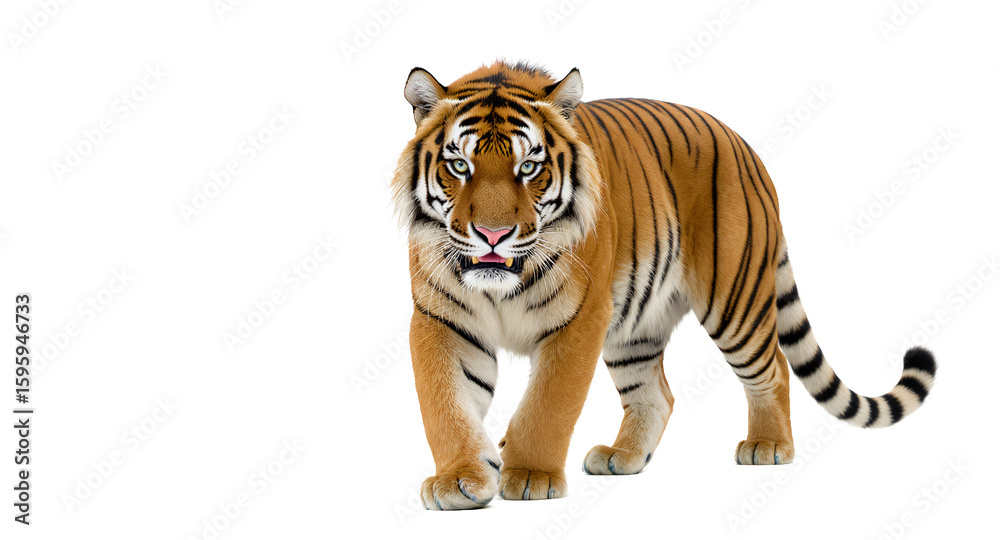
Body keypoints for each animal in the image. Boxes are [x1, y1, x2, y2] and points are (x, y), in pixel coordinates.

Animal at [391, 61, 937, 510]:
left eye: (529, 167)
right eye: (459, 165)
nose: (493, 234)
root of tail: (746, 148)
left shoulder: (579, 320)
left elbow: (549, 403)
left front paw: (530, 476)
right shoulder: (442, 320)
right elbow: (445, 403)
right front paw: (460, 479)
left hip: (734, 304)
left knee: (776, 367)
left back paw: (768, 447)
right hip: (634, 328)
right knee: (657, 394)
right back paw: (623, 456)